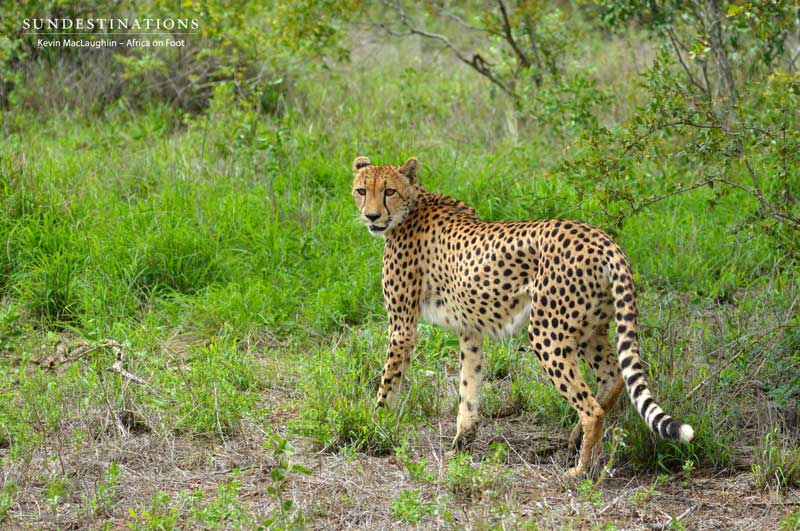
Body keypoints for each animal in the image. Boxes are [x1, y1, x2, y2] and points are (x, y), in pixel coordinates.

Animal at [350, 155, 694, 477]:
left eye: (389, 191)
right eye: (361, 190)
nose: (371, 216)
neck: (412, 206)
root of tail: (602, 239)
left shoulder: (402, 327)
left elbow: (388, 383)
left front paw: (374, 425)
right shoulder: (470, 329)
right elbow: (469, 385)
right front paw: (461, 443)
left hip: (547, 333)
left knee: (592, 408)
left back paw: (580, 470)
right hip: (589, 329)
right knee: (613, 376)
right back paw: (579, 442)